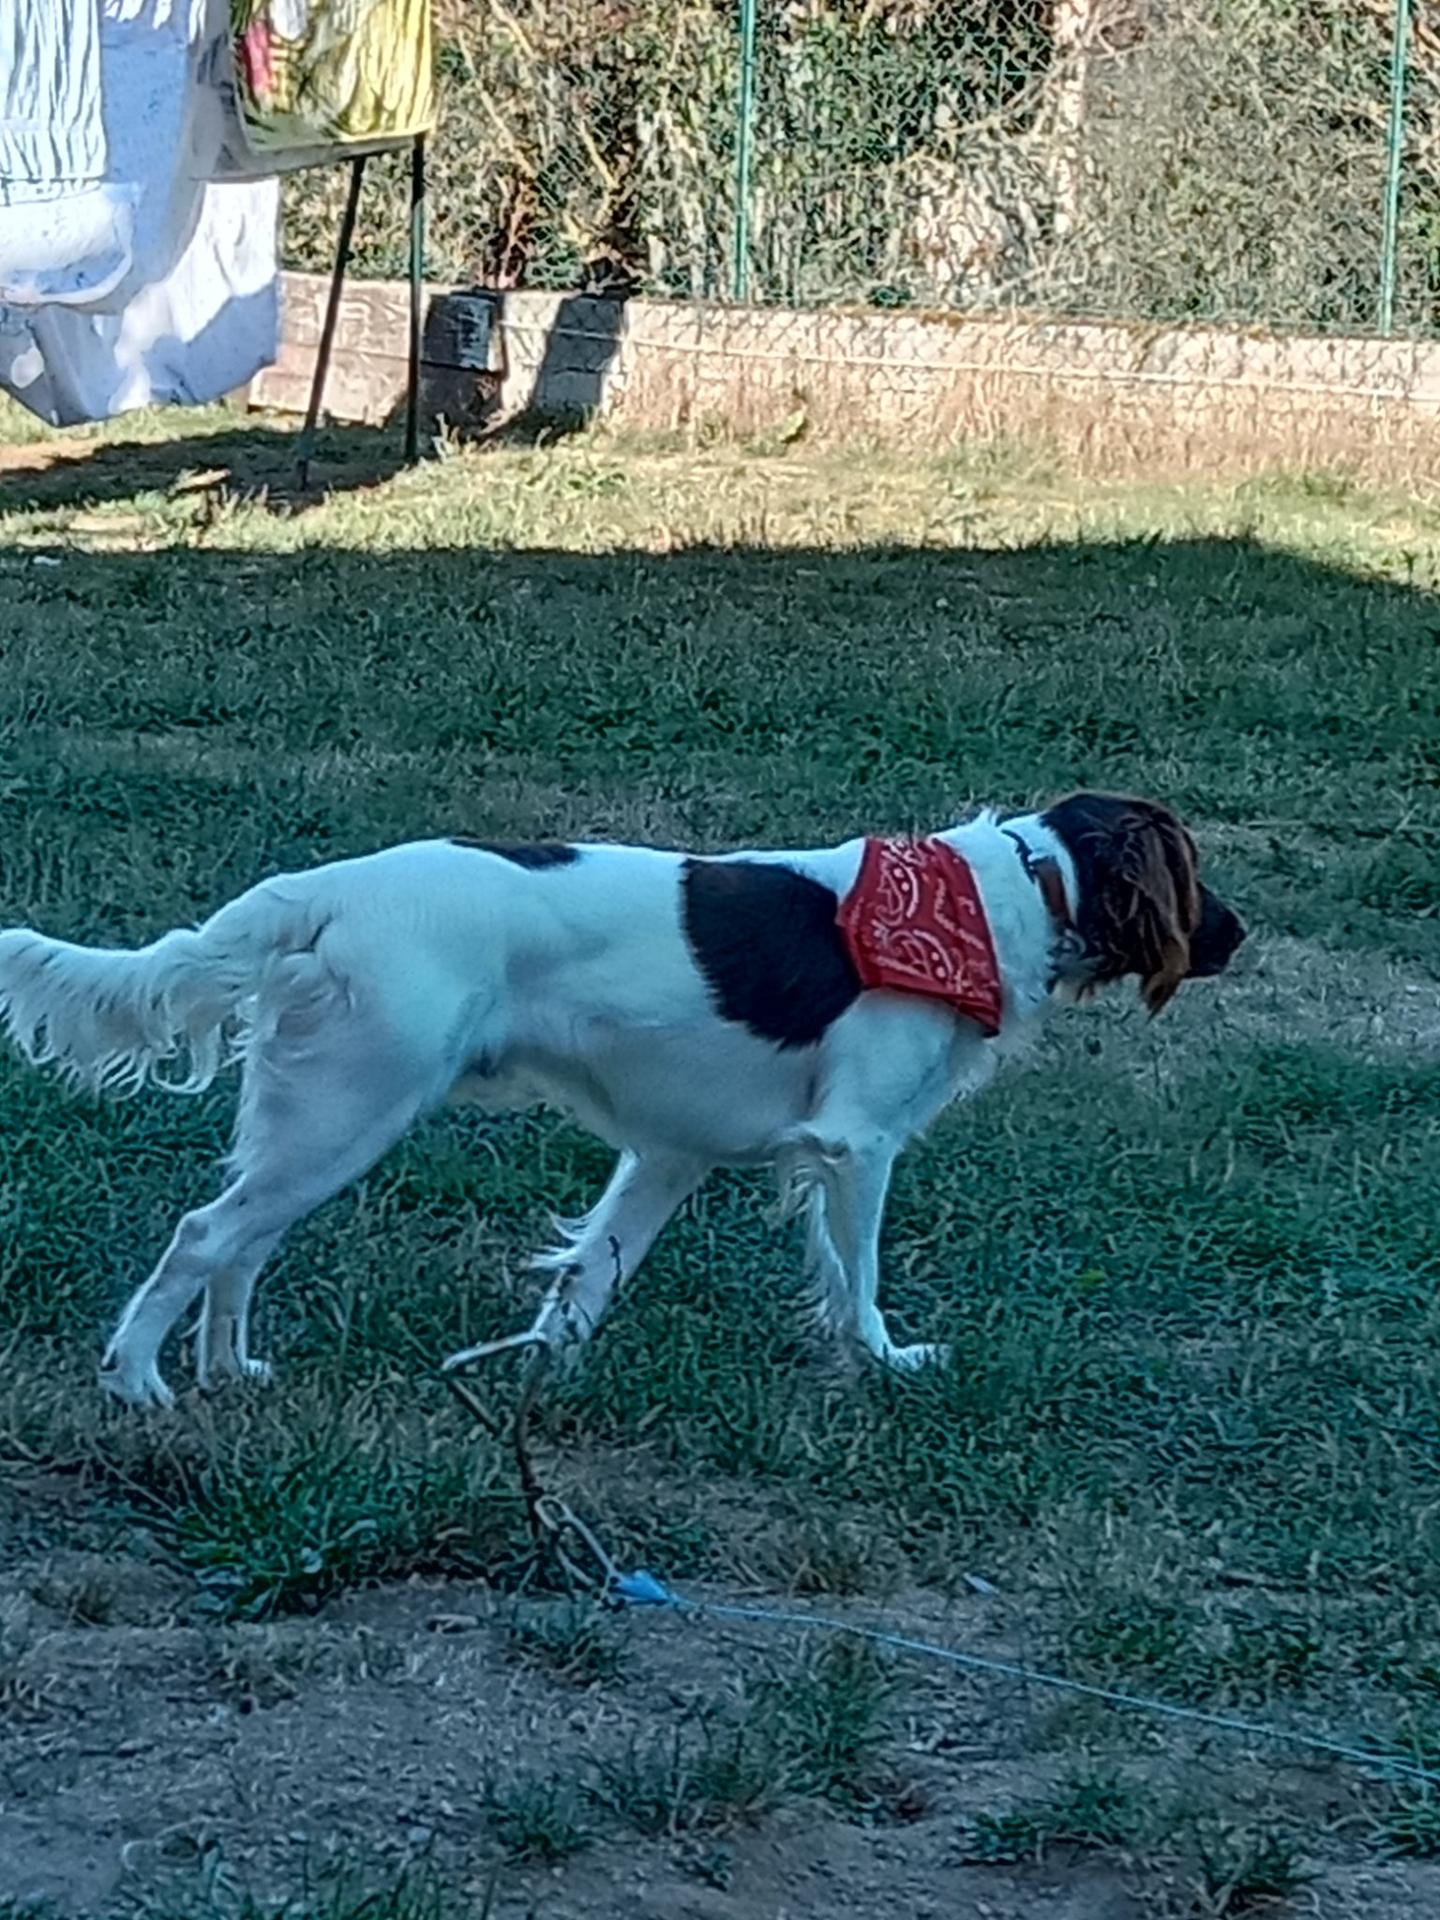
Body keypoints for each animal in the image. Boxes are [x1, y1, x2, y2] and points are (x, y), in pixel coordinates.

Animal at [0, 794, 1244, 1413]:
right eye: (1196, 871)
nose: (1237, 934)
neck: (1007, 895)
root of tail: (326, 890)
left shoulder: (669, 1153)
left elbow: (589, 1278)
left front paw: (538, 1376)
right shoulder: (857, 1144)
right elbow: (859, 1282)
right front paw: (885, 1364)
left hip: (315, 1114)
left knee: (241, 1244)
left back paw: (229, 1373)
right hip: (355, 1105)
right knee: (203, 1236)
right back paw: (139, 1381)